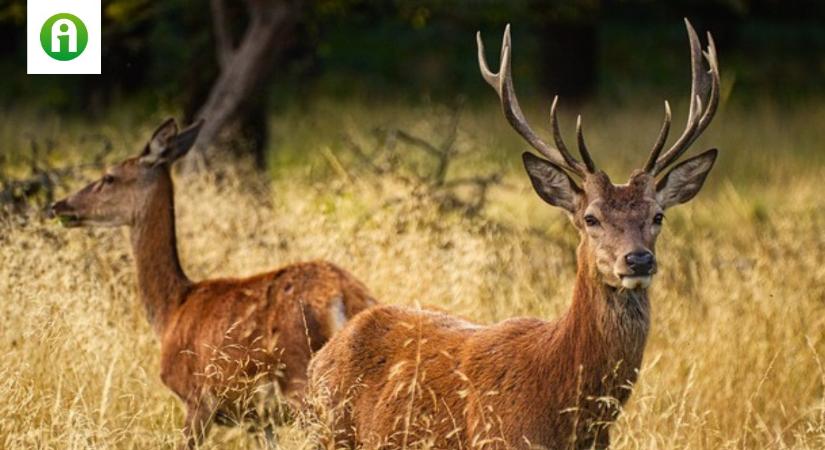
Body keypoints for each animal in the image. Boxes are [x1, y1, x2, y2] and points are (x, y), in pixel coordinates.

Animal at [49, 118, 376, 448]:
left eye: (109, 177)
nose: (59, 205)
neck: (171, 310)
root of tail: (344, 296)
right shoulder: (259, 419)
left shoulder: (197, 398)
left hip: (301, 379)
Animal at [306, 19, 716, 448]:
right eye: (590, 218)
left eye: (658, 216)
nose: (638, 259)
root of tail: (323, 355)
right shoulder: (498, 437)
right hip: (328, 431)